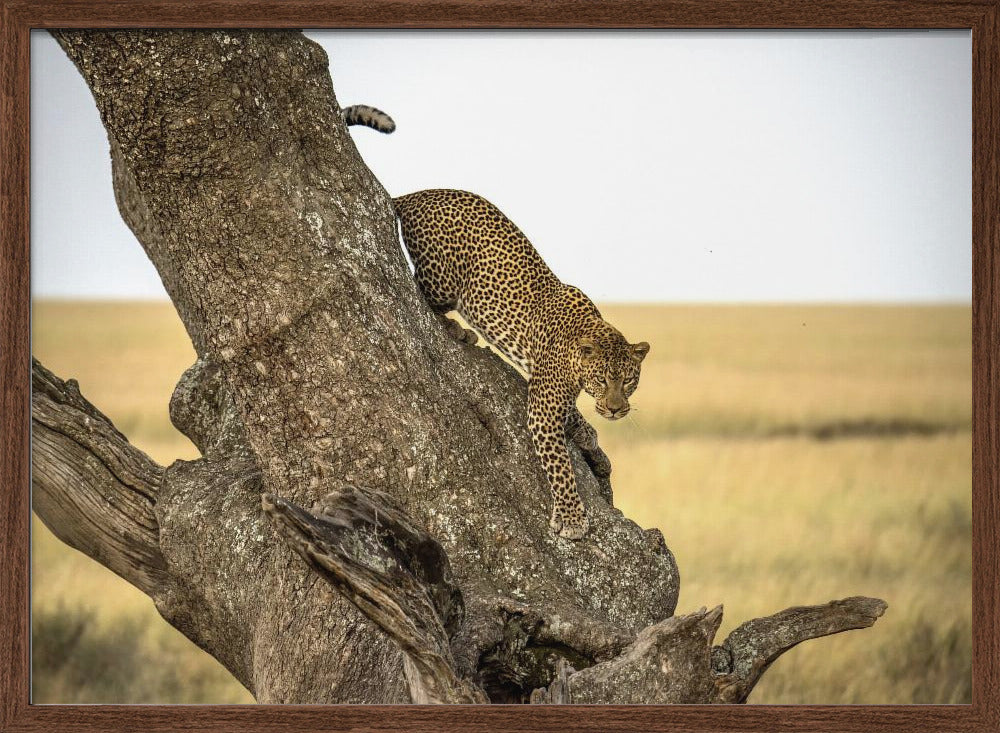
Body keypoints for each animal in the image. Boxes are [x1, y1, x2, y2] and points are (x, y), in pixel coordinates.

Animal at [394, 189, 650, 540]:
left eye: (628, 381)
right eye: (601, 380)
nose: (616, 409)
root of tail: (415, 195)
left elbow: (573, 412)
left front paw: (585, 432)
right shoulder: (543, 405)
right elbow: (560, 465)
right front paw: (572, 518)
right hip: (442, 279)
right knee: (421, 293)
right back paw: (458, 330)